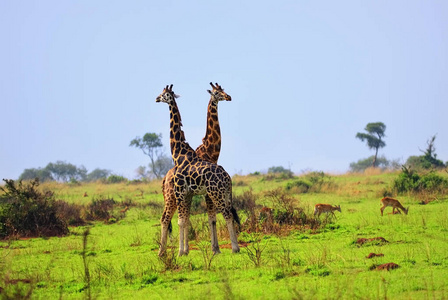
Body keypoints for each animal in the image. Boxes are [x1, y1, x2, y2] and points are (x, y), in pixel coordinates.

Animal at [158, 84, 242, 255]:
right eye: (217, 92)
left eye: (163, 94)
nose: (156, 98)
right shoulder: (188, 193)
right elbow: (188, 220)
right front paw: (188, 250)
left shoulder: (187, 193)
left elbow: (193, 220)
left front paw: (186, 251)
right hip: (177, 196)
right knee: (165, 218)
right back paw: (162, 252)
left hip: (210, 194)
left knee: (227, 214)